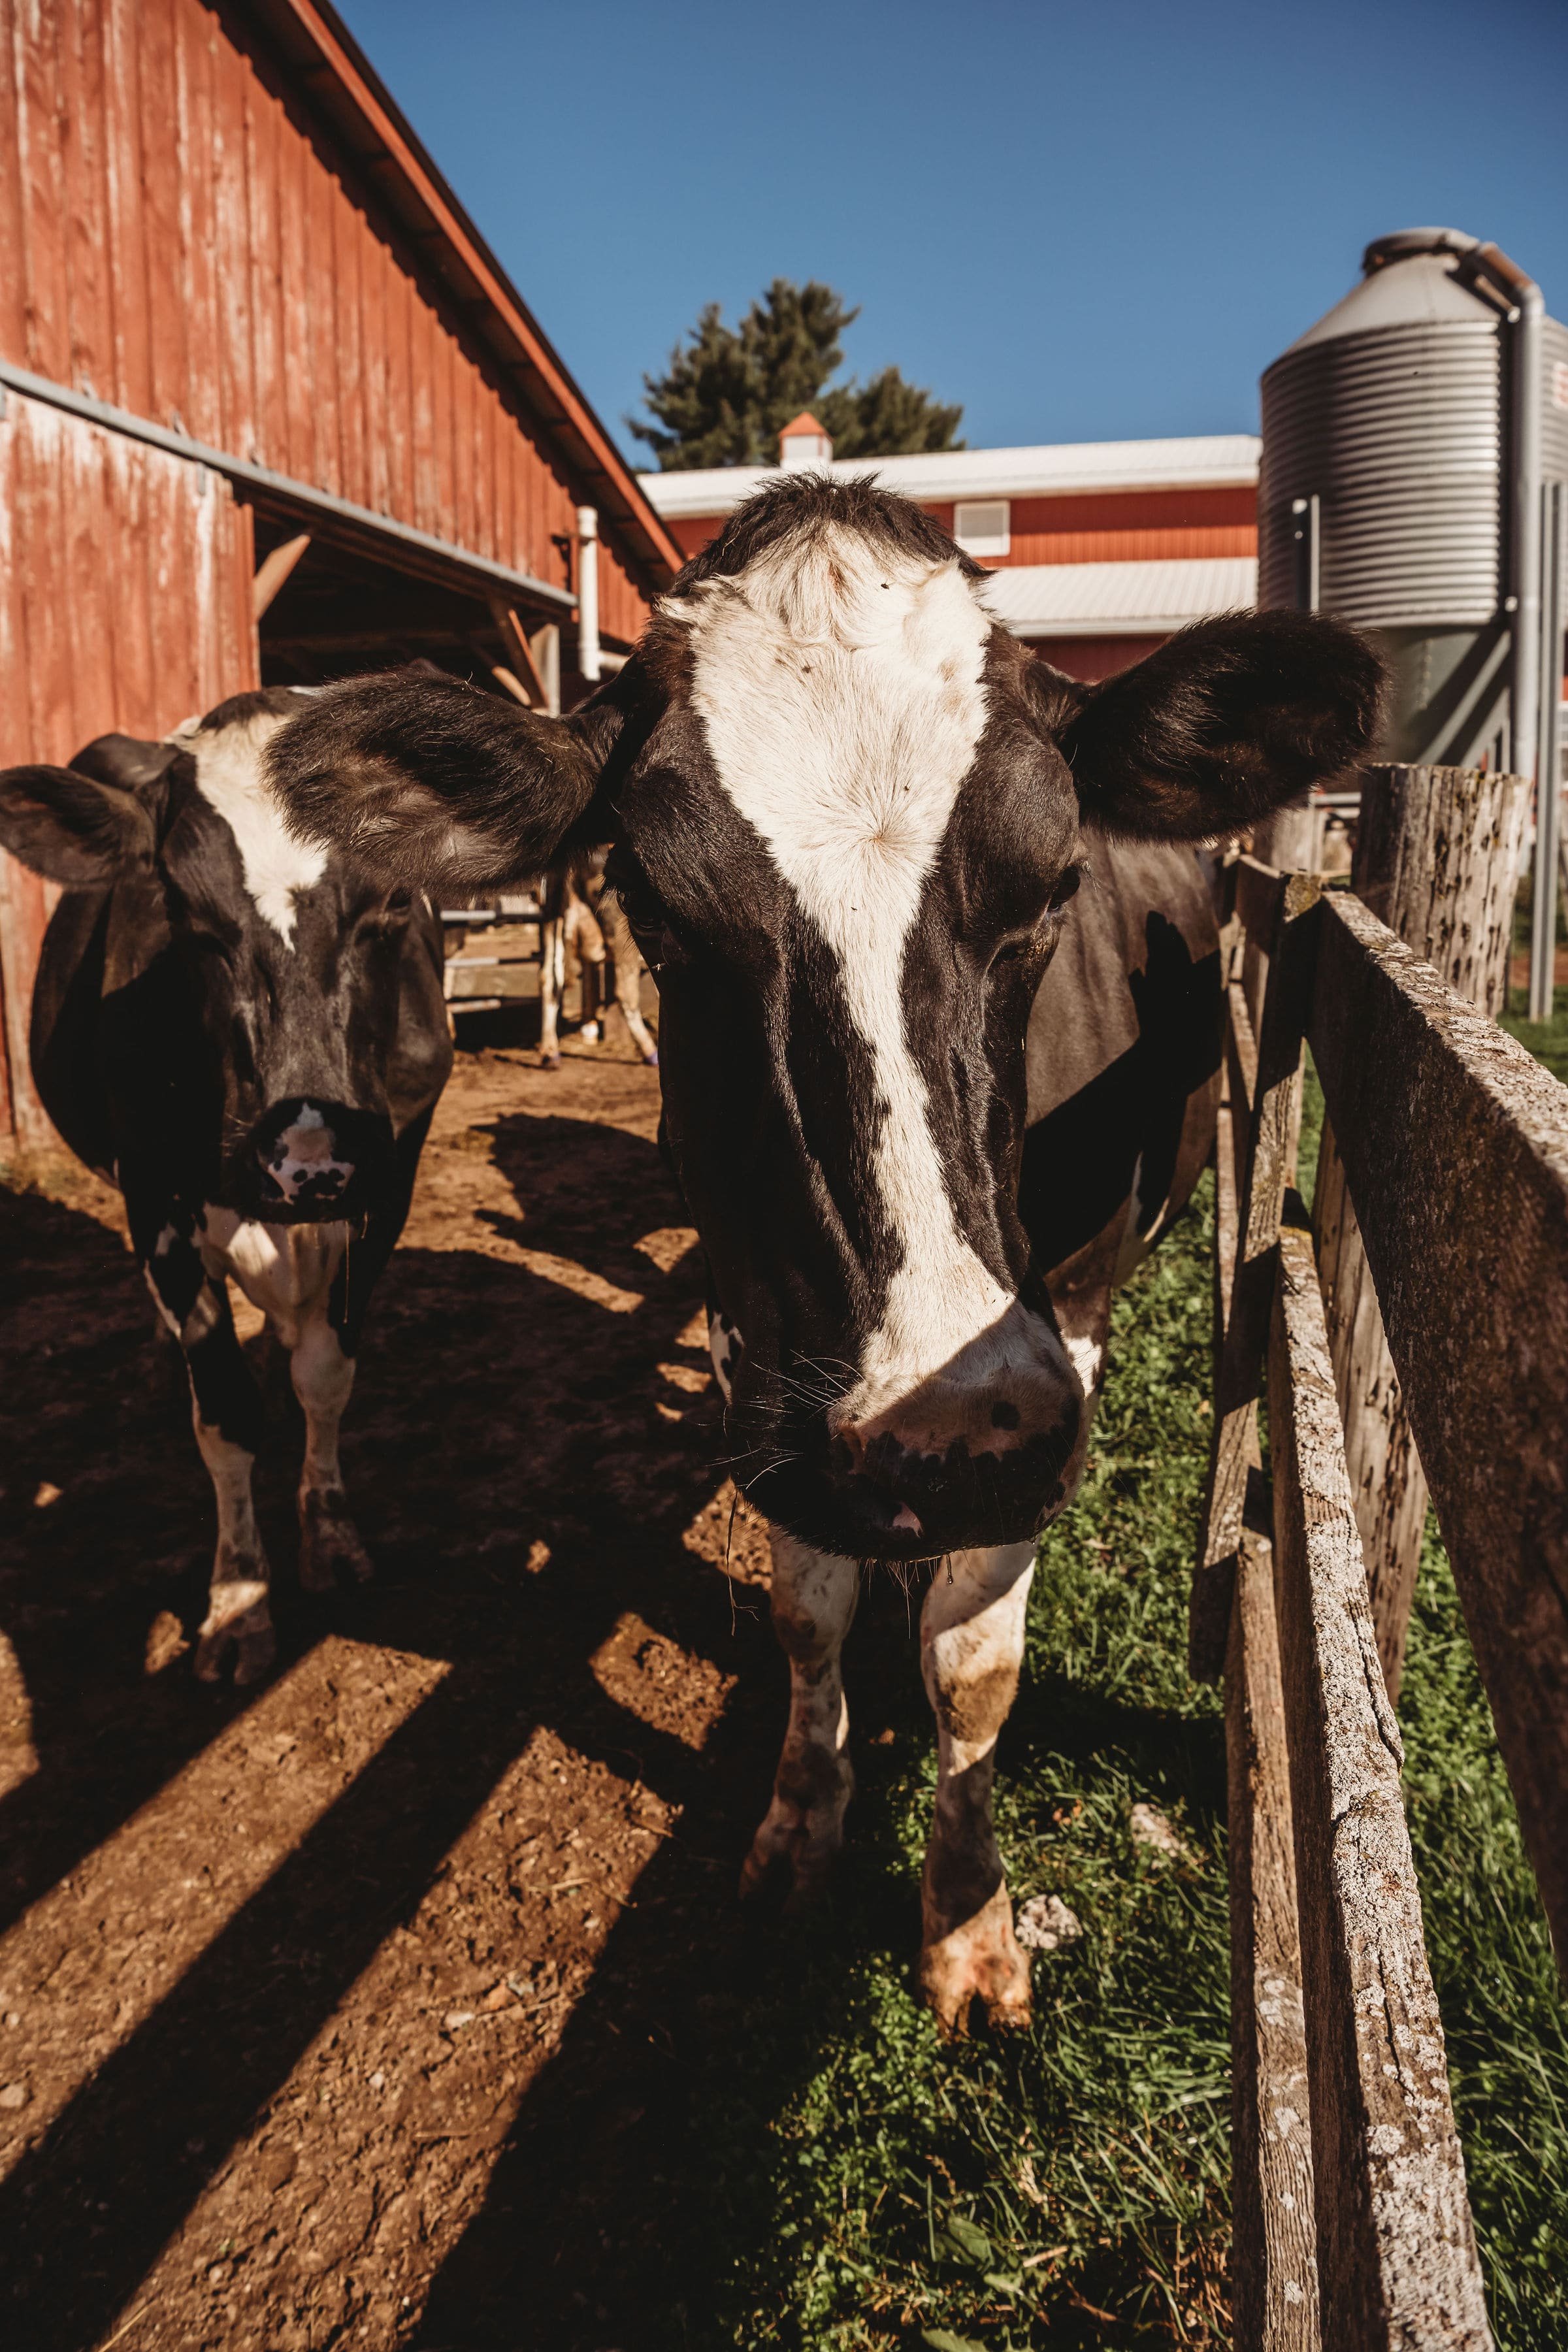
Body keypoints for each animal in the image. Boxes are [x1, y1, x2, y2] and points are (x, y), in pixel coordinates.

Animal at [0, 687, 453, 1693]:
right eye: (183, 913)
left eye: (391, 902)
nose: (308, 1160)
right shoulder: (156, 1207)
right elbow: (225, 1415)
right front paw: (239, 1601)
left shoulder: (386, 1185)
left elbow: (326, 1374)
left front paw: (328, 1534)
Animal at [263, 487, 1382, 2032]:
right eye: (653, 907)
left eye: (1056, 884)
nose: (935, 1437)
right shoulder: (760, 1331)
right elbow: (807, 1615)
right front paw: (799, 1831)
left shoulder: (1048, 1356)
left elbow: (974, 1665)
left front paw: (969, 1924)